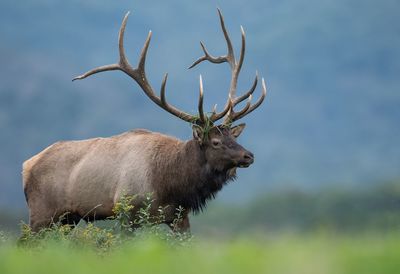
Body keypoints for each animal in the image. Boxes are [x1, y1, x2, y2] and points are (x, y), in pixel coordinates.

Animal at [21, 9, 266, 232]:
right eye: (215, 142)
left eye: (233, 137)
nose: (249, 155)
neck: (171, 185)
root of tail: (26, 166)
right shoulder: (126, 211)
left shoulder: (179, 217)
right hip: (41, 213)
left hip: (67, 218)